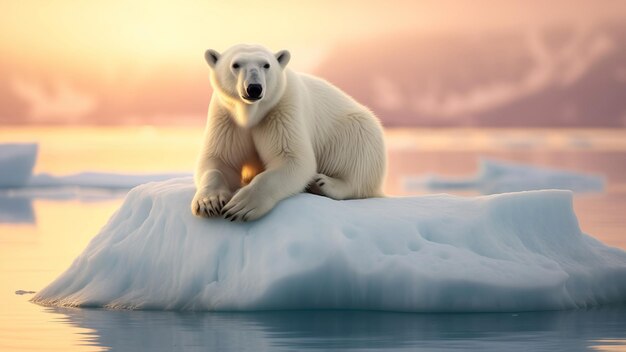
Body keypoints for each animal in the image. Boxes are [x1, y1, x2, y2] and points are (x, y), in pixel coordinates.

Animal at [190, 43, 386, 220]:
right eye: (236, 64)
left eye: (266, 65)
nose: (254, 88)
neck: (251, 114)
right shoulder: (226, 116)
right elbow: (220, 161)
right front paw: (209, 202)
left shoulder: (282, 109)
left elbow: (292, 159)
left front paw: (241, 205)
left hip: (355, 129)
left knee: (358, 158)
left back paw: (324, 184)